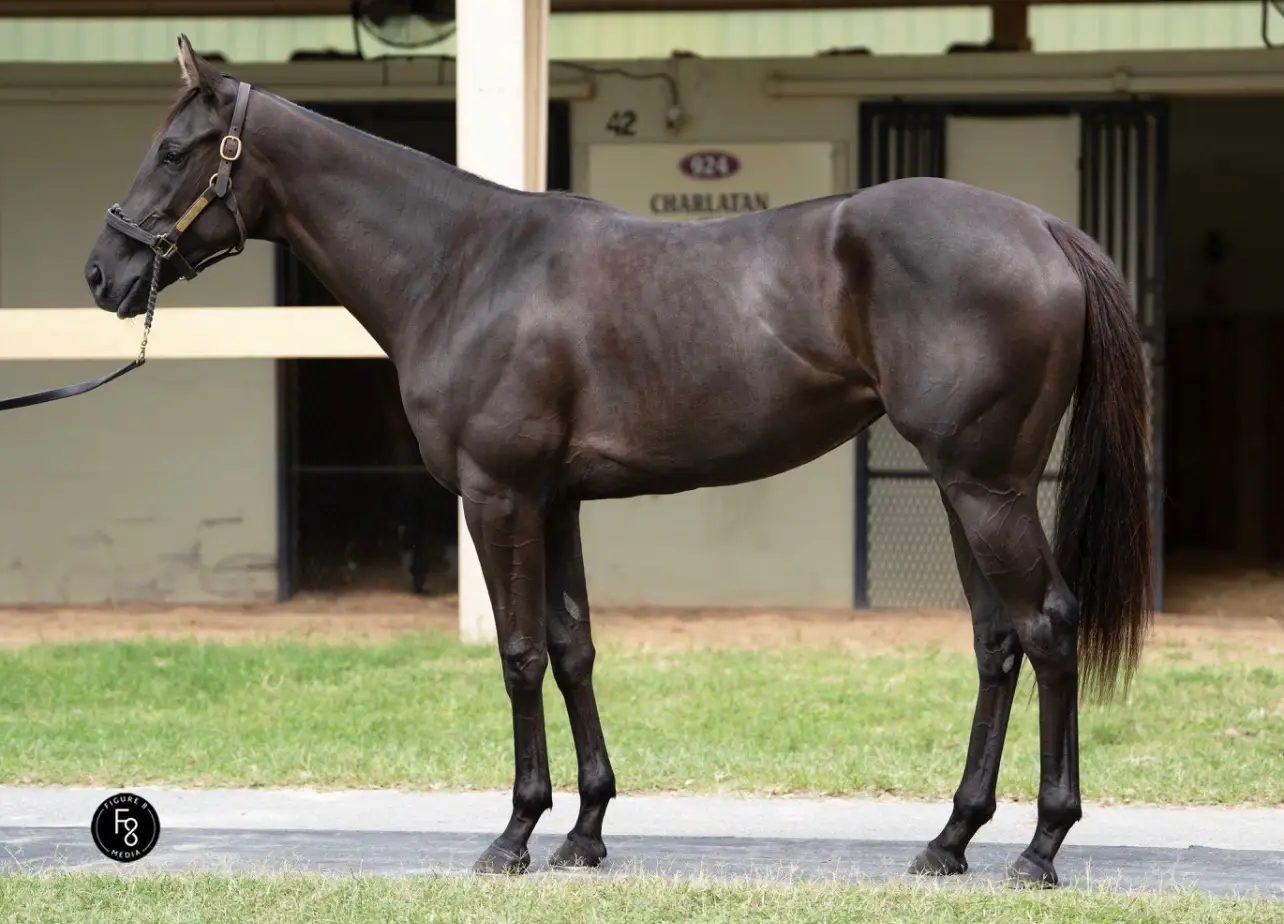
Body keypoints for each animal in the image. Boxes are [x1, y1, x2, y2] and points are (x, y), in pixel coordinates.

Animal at [84, 35, 1153, 887]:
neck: (462, 266)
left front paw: (514, 836)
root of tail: (1041, 227)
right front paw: (585, 833)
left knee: (1048, 627)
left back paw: (1039, 849)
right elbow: (573, 649)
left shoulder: (498, 496)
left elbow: (518, 655)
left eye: (174, 151)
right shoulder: (556, 502)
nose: (104, 273)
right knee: (997, 641)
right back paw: (948, 841)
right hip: (963, 487)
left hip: (987, 488)